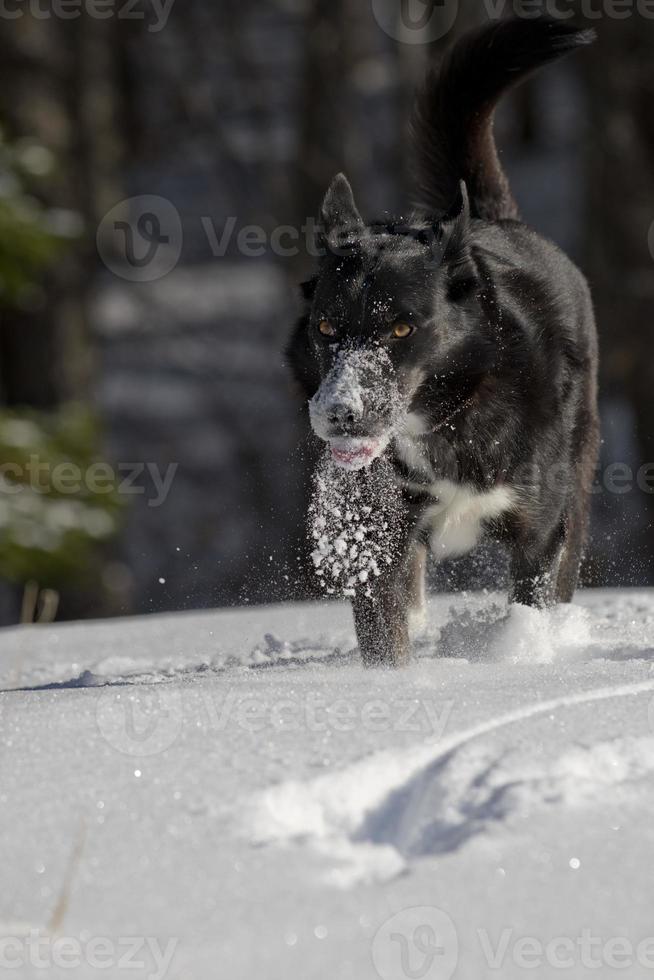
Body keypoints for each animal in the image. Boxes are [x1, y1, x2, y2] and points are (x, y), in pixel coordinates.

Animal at [290, 19, 604, 668]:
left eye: (401, 329)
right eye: (326, 330)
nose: (340, 414)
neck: (448, 415)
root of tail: (492, 218)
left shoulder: (540, 532)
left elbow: (533, 597)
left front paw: (521, 652)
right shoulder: (378, 533)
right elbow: (386, 629)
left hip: (578, 482)